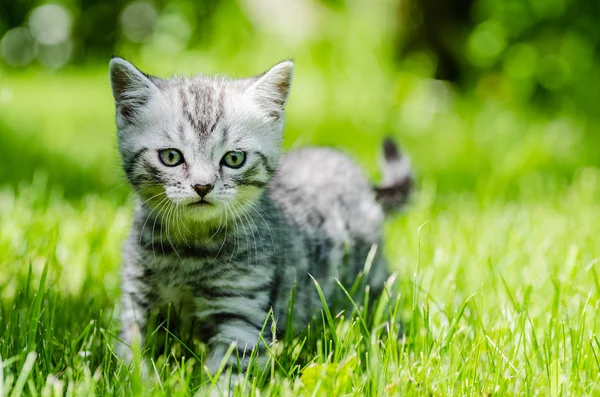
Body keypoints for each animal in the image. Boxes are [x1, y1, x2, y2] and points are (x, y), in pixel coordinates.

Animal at [109, 58, 412, 378]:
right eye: (171, 157)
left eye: (234, 159)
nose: (202, 186)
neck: (189, 252)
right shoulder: (137, 302)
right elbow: (131, 355)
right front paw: (138, 380)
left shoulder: (241, 317)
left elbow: (227, 374)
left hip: (371, 284)